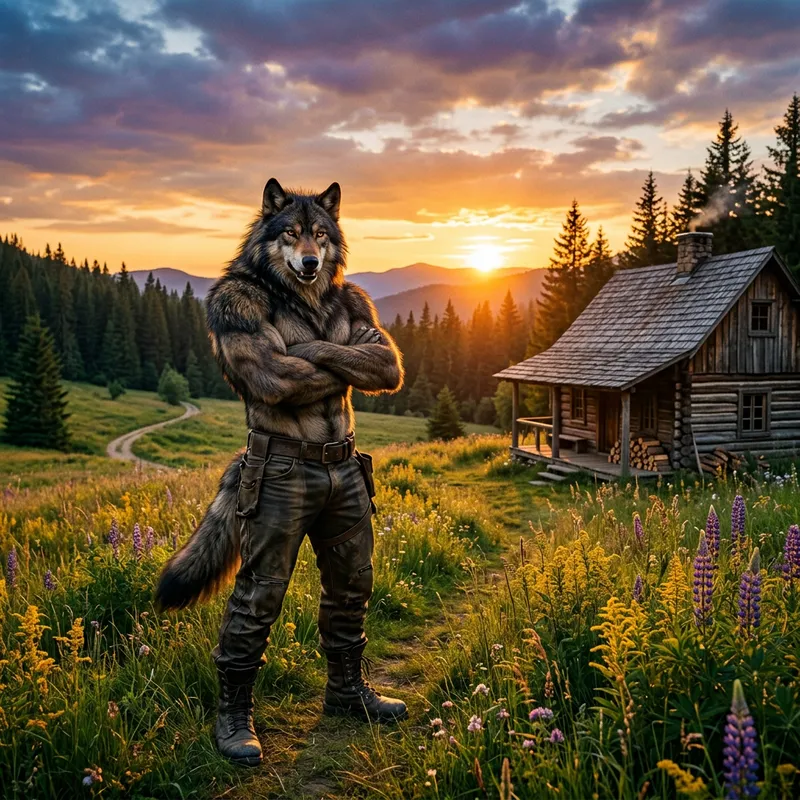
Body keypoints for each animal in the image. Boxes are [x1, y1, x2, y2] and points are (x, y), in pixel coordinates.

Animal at [155, 178, 405, 766]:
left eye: (320, 234)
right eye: (290, 233)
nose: (312, 262)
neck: (302, 298)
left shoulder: (359, 309)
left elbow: (373, 350)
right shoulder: (234, 308)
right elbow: (295, 356)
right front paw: (312, 345)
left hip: (347, 533)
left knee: (346, 608)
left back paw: (351, 700)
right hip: (267, 551)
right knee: (244, 635)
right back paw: (235, 732)